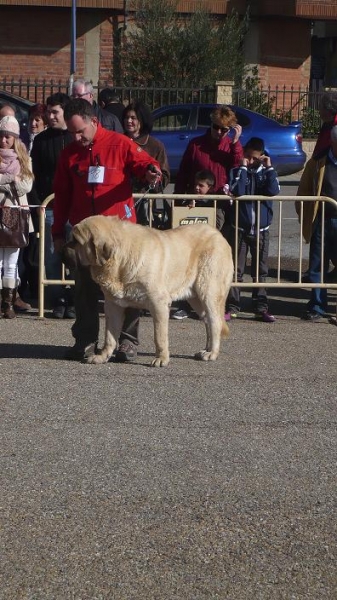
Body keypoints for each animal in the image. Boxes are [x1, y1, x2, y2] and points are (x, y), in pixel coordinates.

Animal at [69, 216, 232, 366]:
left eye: (76, 241)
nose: (63, 248)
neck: (121, 258)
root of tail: (219, 235)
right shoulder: (112, 306)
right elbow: (109, 336)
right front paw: (102, 357)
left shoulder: (158, 303)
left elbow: (159, 336)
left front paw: (161, 359)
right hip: (196, 299)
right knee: (207, 321)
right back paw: (206, 350)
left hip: (208, 293)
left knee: (215, 321)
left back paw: (212, 353)